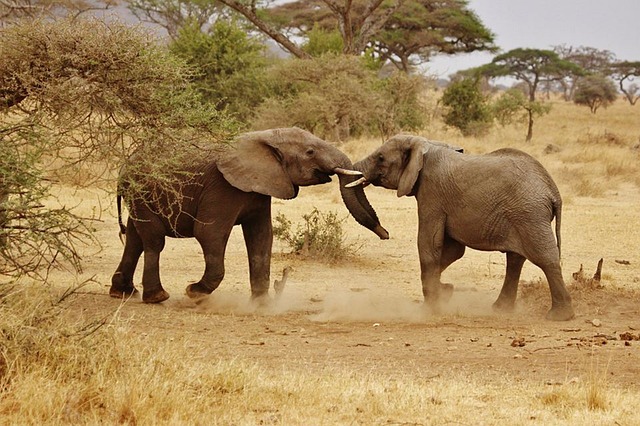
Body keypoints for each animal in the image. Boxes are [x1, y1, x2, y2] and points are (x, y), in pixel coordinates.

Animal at [110, 126, 388, 302]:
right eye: (310, 152)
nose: (385, 233)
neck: (263, 137)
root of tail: (125, 165)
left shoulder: (261, 188)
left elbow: (261, 237)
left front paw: (261, 304)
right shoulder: (222, 187)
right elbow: (209, 233)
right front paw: (193, 292)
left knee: (135, 238)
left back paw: (123, 293)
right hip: (141, 191)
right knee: (154, 239)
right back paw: (157, 297)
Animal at [348, 135, 576, 322]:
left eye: (380, 158)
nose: (385, 234)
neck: (426, 144)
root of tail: (553, 192)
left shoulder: (431, 194)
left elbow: (429, 245)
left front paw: (430, 309)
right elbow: (453, 251)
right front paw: (446, 291)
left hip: (529, 214)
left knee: (545, 258)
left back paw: (559, 316)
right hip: (522, 215)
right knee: (515, 260)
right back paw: (500, 309)